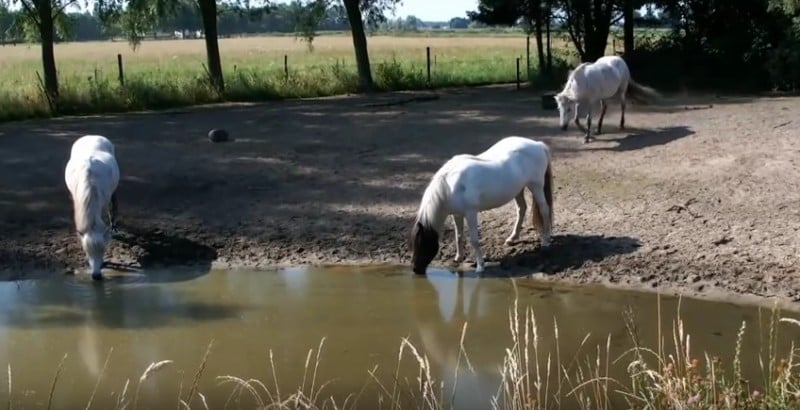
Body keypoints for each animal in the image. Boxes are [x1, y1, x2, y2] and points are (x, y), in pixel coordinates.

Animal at [410, 135, 552, 276]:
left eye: (423, 243)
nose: (415, 269)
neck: (450, 185)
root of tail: (538, 144)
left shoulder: (471, 213)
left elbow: (474, 240)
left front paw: (480, 266)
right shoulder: (457, 215)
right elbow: (458, 236)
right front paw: (458, 258)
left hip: (536, 186)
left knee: (544, 210)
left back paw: (545, 242)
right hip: (518, 190)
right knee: (521, 209)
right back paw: (512, 238)